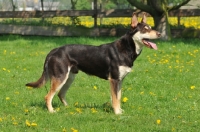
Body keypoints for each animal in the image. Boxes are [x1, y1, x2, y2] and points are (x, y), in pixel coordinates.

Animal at [25, 12, 162, 114]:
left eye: (151, 28)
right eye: (145, 29)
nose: (159, 33)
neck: (127, 49)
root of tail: (53, 51)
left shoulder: (120, 80)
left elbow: (118, 97)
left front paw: (120, 111)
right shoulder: (114, 79)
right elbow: (115, 99)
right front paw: (117, 113)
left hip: (69, 78)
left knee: (60, 94)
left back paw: (69, 108)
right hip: (60, 77)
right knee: (48, 96)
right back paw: (52, 111)